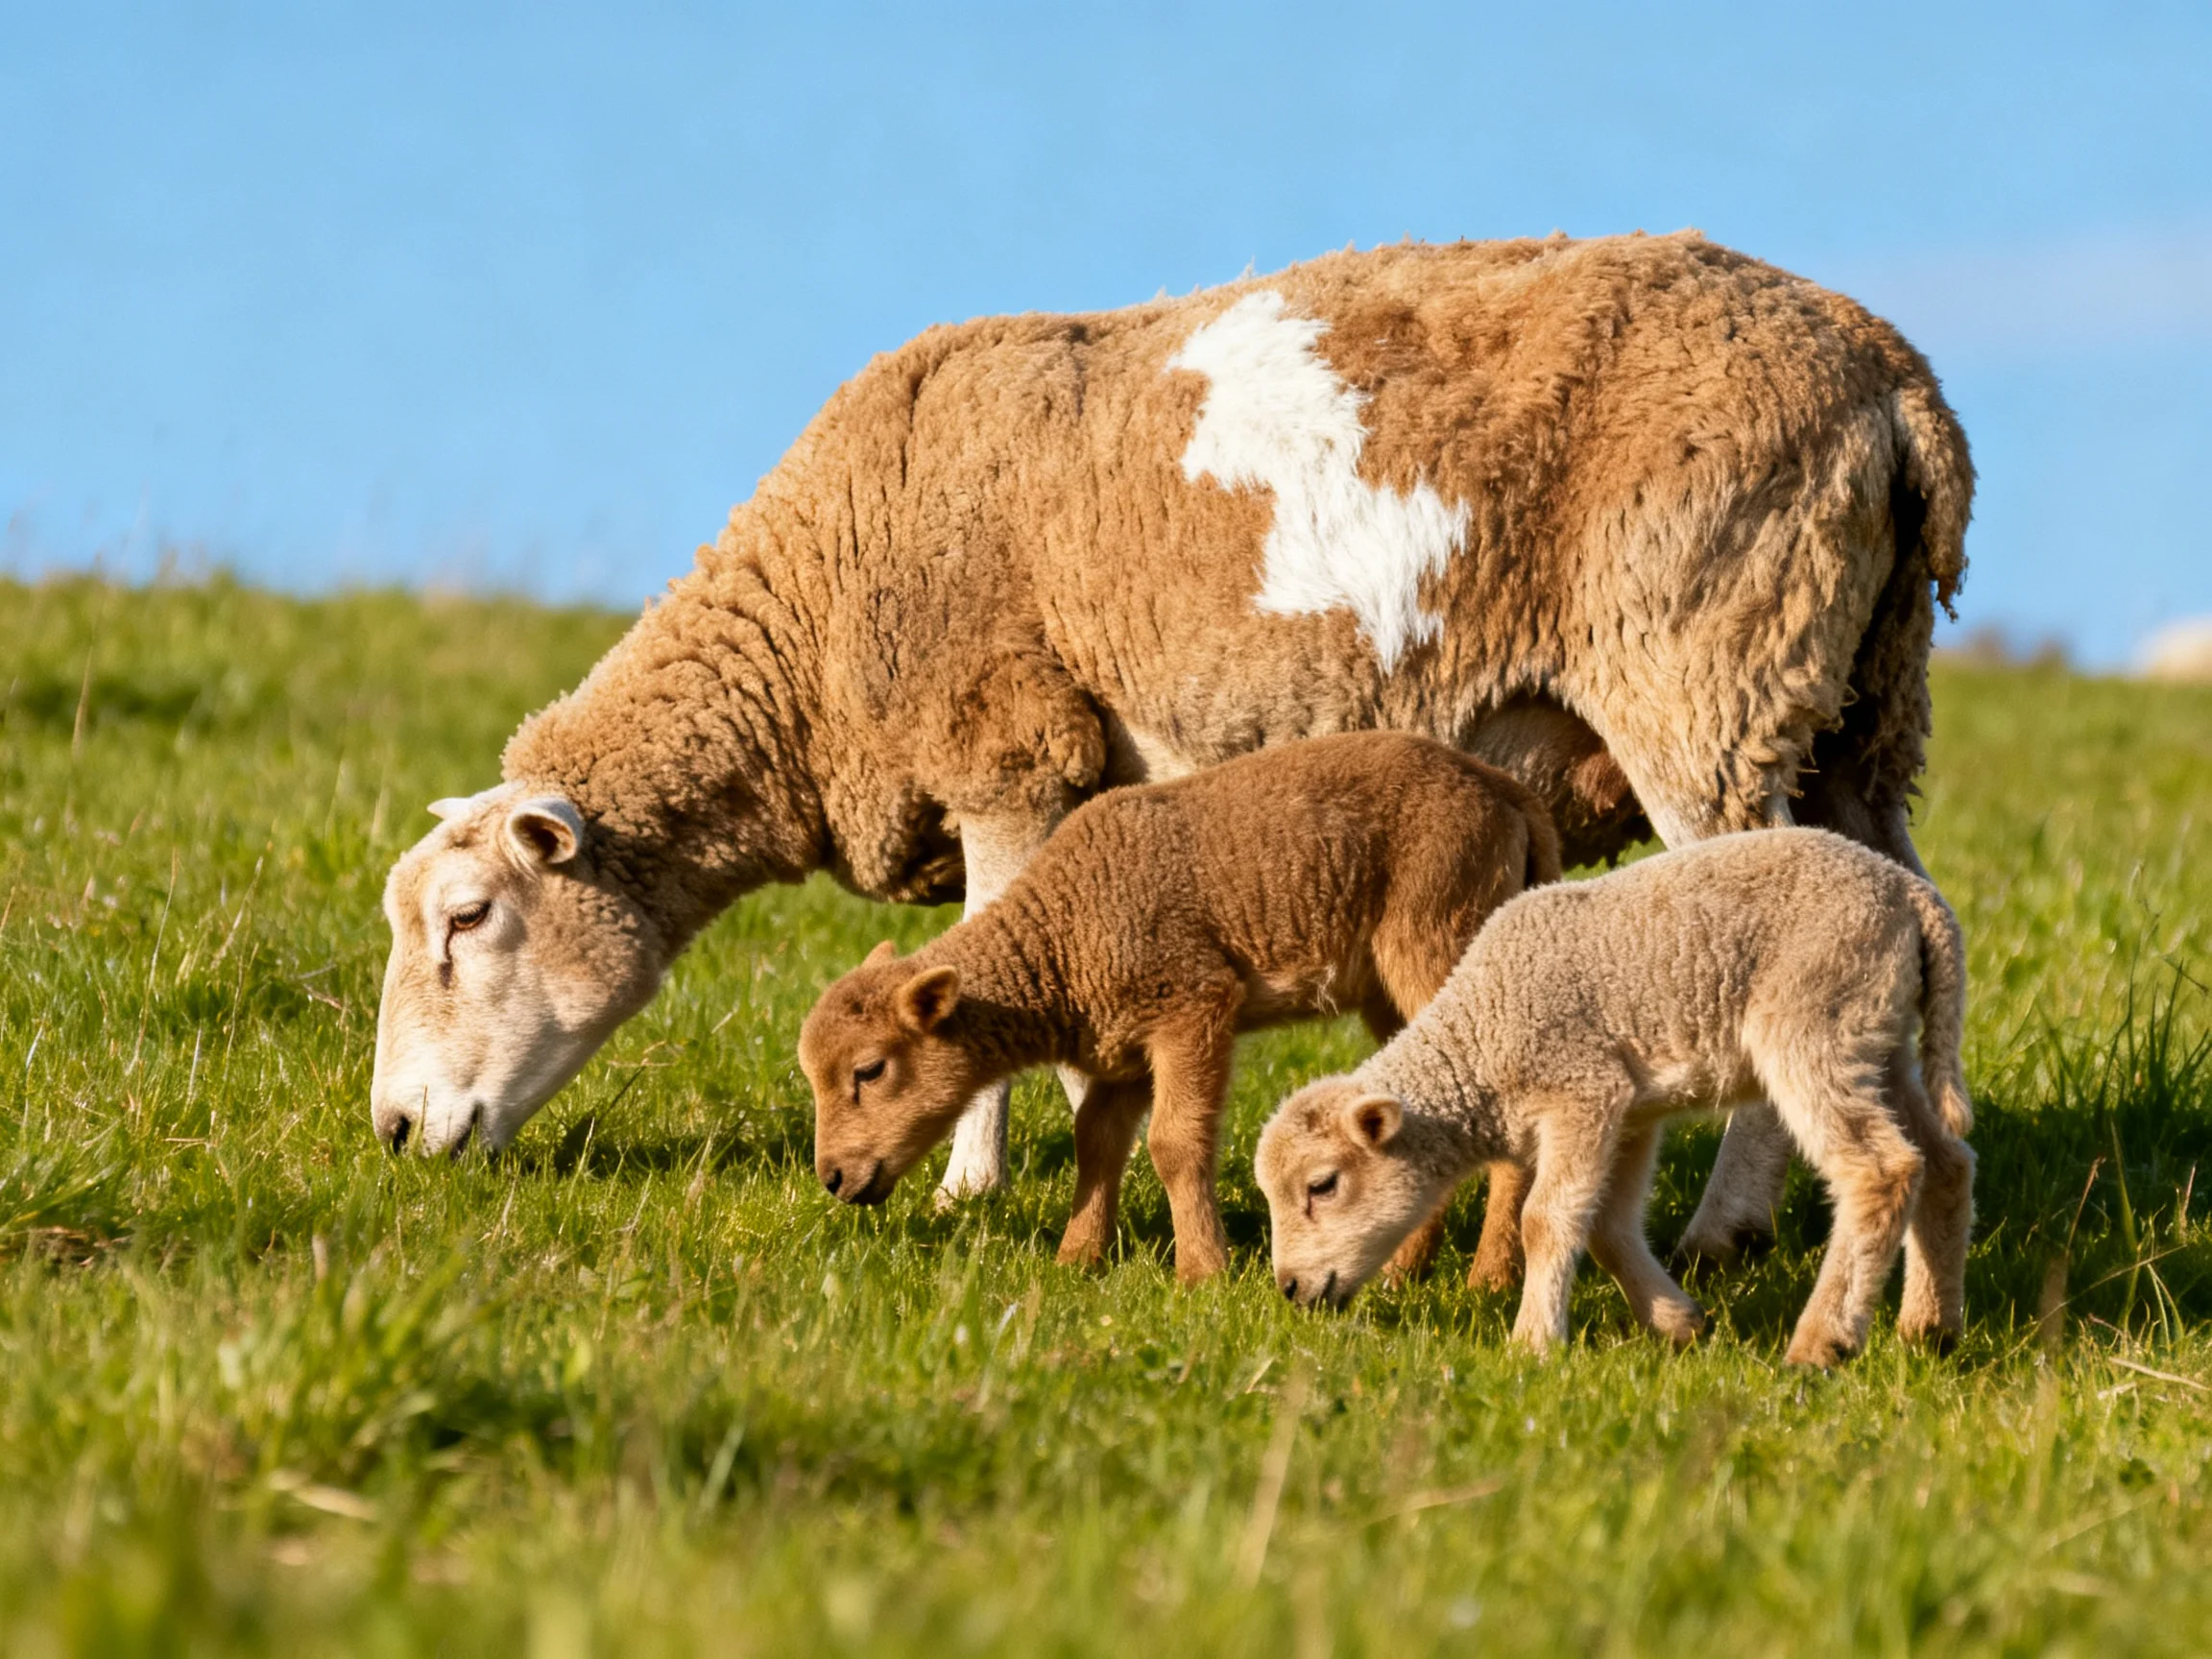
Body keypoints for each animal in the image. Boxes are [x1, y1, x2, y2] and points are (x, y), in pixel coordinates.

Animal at [798, 732, 1557, 1283]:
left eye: (869, 1070)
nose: (832, 1177)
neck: (1062, 938)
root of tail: (1506, 793)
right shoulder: (1123, 1049)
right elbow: (1096, 1140)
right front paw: (1077, 1259)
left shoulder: (1193, 1006)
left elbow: (1173, 1143)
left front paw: (1202, 1272)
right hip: (1390, 990)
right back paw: (1406, 1271)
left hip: (1438, 939)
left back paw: (1486, 1280)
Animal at [1254, 829, 1975, 1368]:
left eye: (1322, 1185)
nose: (1288, 1289)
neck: (1484, 1036)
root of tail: (1911, 895)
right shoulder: (1630, 1108)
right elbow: (1605, 1224)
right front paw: (1679, 1323)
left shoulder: (1582, 1087)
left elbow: (1545, 1219)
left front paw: (1533, 1344)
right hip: (1877, 1037)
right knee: (1944, 1162)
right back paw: (1929, 1330)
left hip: (1814, 1019)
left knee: (1881, 1170)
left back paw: (1822, 1343)